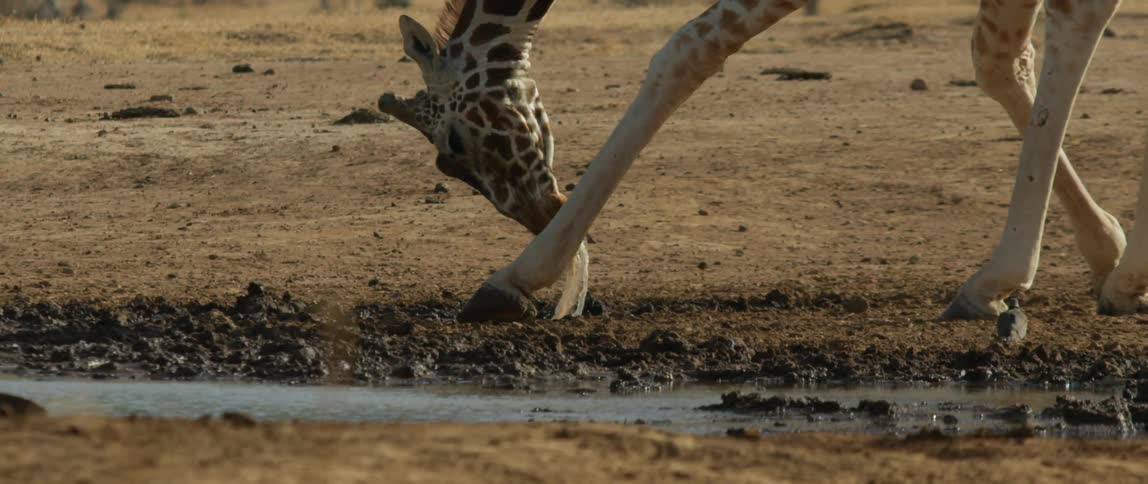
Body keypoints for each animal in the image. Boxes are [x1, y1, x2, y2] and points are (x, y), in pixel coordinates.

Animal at [430, 0, 1146, 324]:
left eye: (454, 150)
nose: (538, 213)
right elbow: (999, 58)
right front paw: (1106, 244)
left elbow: (686, 49)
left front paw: (518, 276)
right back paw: (1126, 272)